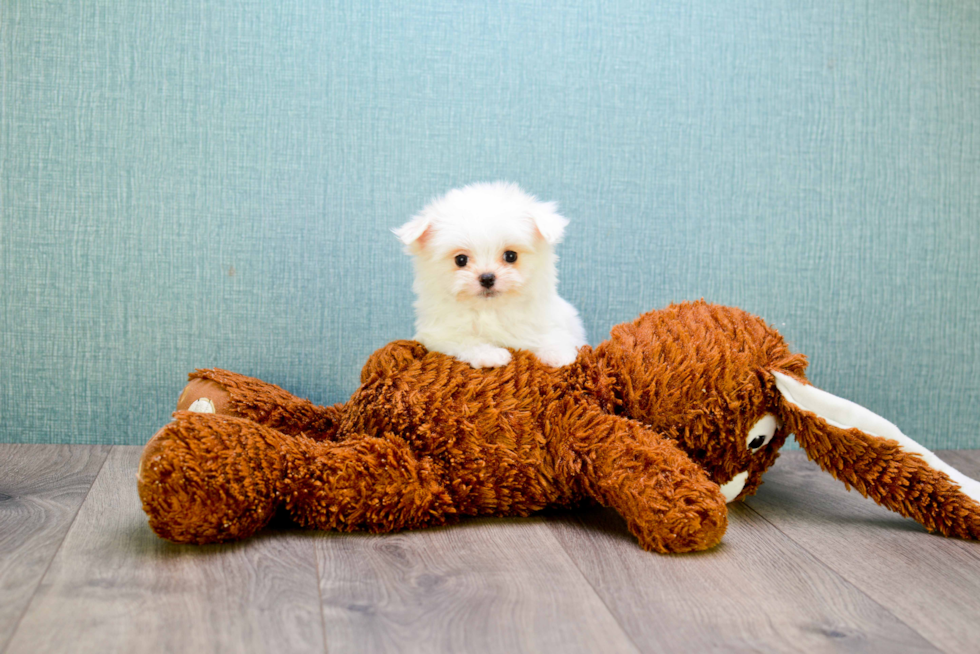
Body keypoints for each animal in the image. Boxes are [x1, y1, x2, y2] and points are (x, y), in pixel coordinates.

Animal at [392, 182, 588, 372]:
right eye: (460, 259)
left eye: (511, 256)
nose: (487, 278)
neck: (490, 310)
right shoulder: (438, 334)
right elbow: (465, 340)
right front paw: (489, 355)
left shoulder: (548, 320)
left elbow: (553, 334)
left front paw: (557, 353)